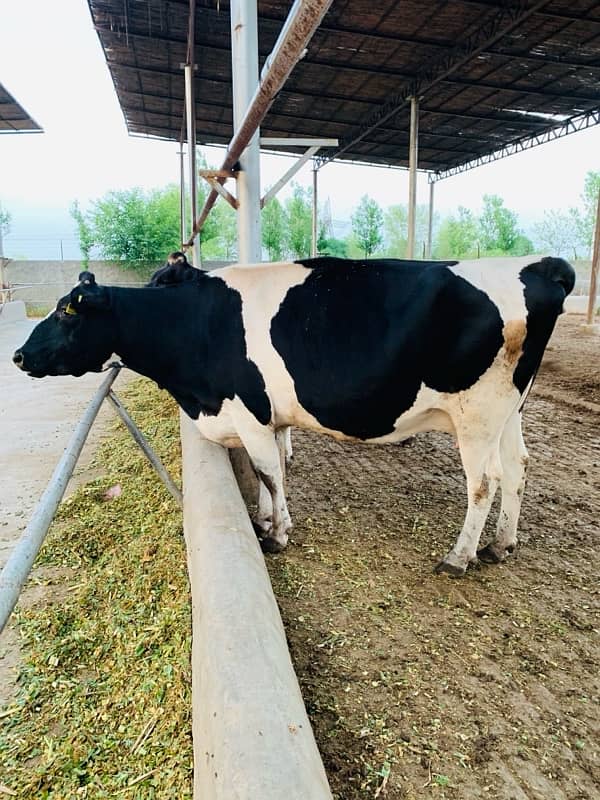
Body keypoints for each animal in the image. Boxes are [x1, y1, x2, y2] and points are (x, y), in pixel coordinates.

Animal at [11, 256, 576, 576]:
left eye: (67, 310)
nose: (17, 355)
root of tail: (538, 266)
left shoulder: (247, 409)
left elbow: (267, 471)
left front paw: (277, 535)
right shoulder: (268, 418)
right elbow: (274, 472)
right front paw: (266, 518)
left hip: (477, 414)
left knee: (484, 481)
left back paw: (460, 557)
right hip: (509, 413)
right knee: (519, 468)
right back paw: (501, 544)